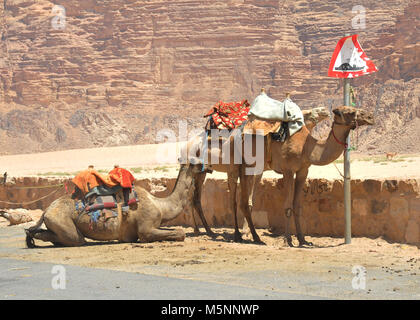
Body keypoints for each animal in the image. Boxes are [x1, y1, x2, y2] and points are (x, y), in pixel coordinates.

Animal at [23, 164, 204, 246]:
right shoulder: (145, 229)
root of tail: (46, 210)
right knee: (76, 239)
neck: (161, 206)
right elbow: (180, 232)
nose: (205, 167)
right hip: (62, 221)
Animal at [236, 105, 374, 245]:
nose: (370, 117)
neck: (306, 148)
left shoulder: (303, 171)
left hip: (259, 168)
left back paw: (248, 233)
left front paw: (302, 239)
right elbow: (287, 205)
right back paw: (248, 235)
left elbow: (297, 205)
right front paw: (288, 239)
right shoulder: (288, 170)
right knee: (243, 199)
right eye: (350, 112)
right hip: (246, 165)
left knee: (249, 198)